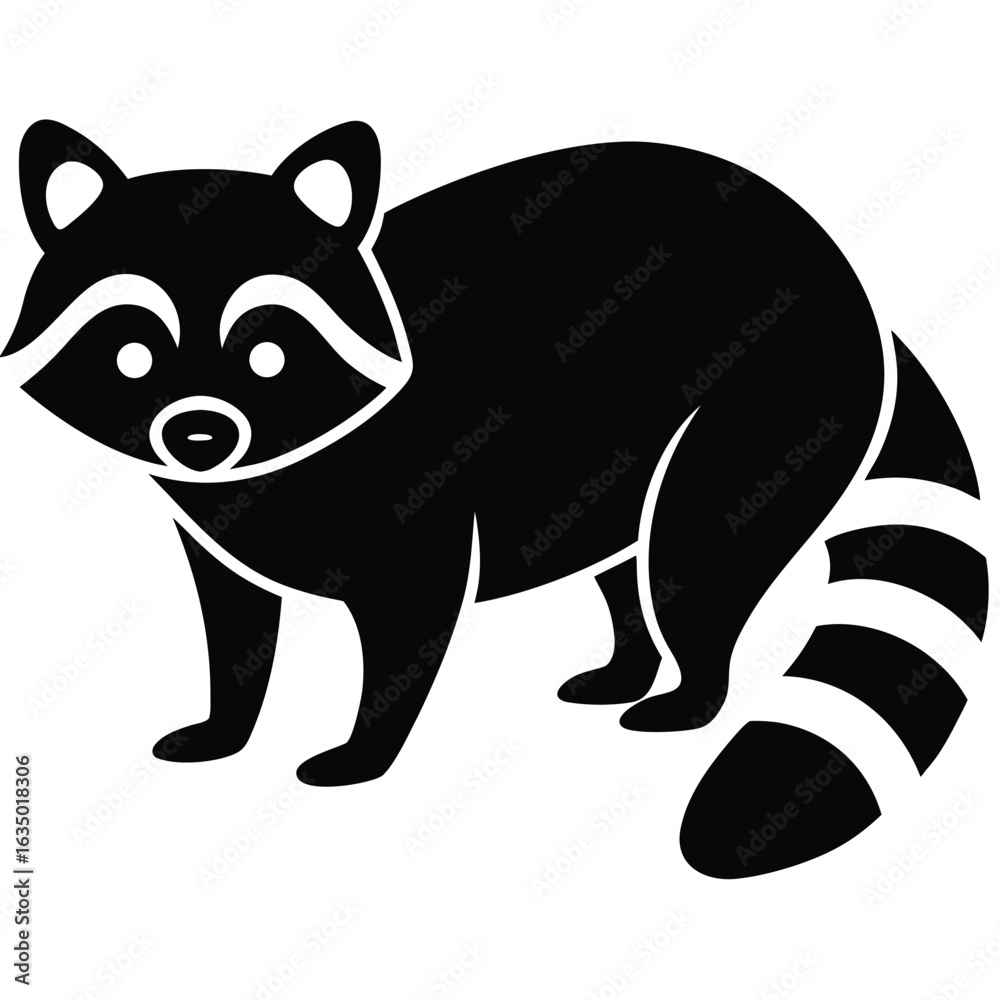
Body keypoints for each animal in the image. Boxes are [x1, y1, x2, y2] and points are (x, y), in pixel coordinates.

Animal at [5, 120, 987, 877]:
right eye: (134, 352)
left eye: (270, 353)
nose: (200, 434)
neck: (271, 469)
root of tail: (859, 293)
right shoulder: (214, 526)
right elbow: (235, 623)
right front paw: (229, 723)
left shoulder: (418, 495)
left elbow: (406, 632)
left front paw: (364, 748)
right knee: (627, 559)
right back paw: (630, 663)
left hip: (762, 403)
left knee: (690, 557)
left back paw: (689, 691)